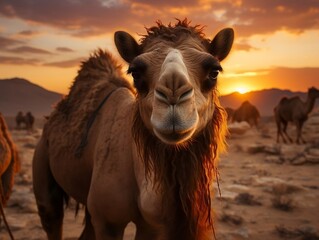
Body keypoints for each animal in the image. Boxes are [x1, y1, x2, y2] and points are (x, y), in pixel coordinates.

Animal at [32, 19, 234, 240]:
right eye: (136, 73)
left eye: (214, 72)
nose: (173, 95)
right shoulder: (107, 221)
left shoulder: (152, 225)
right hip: (42, 165)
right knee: (50, 213)